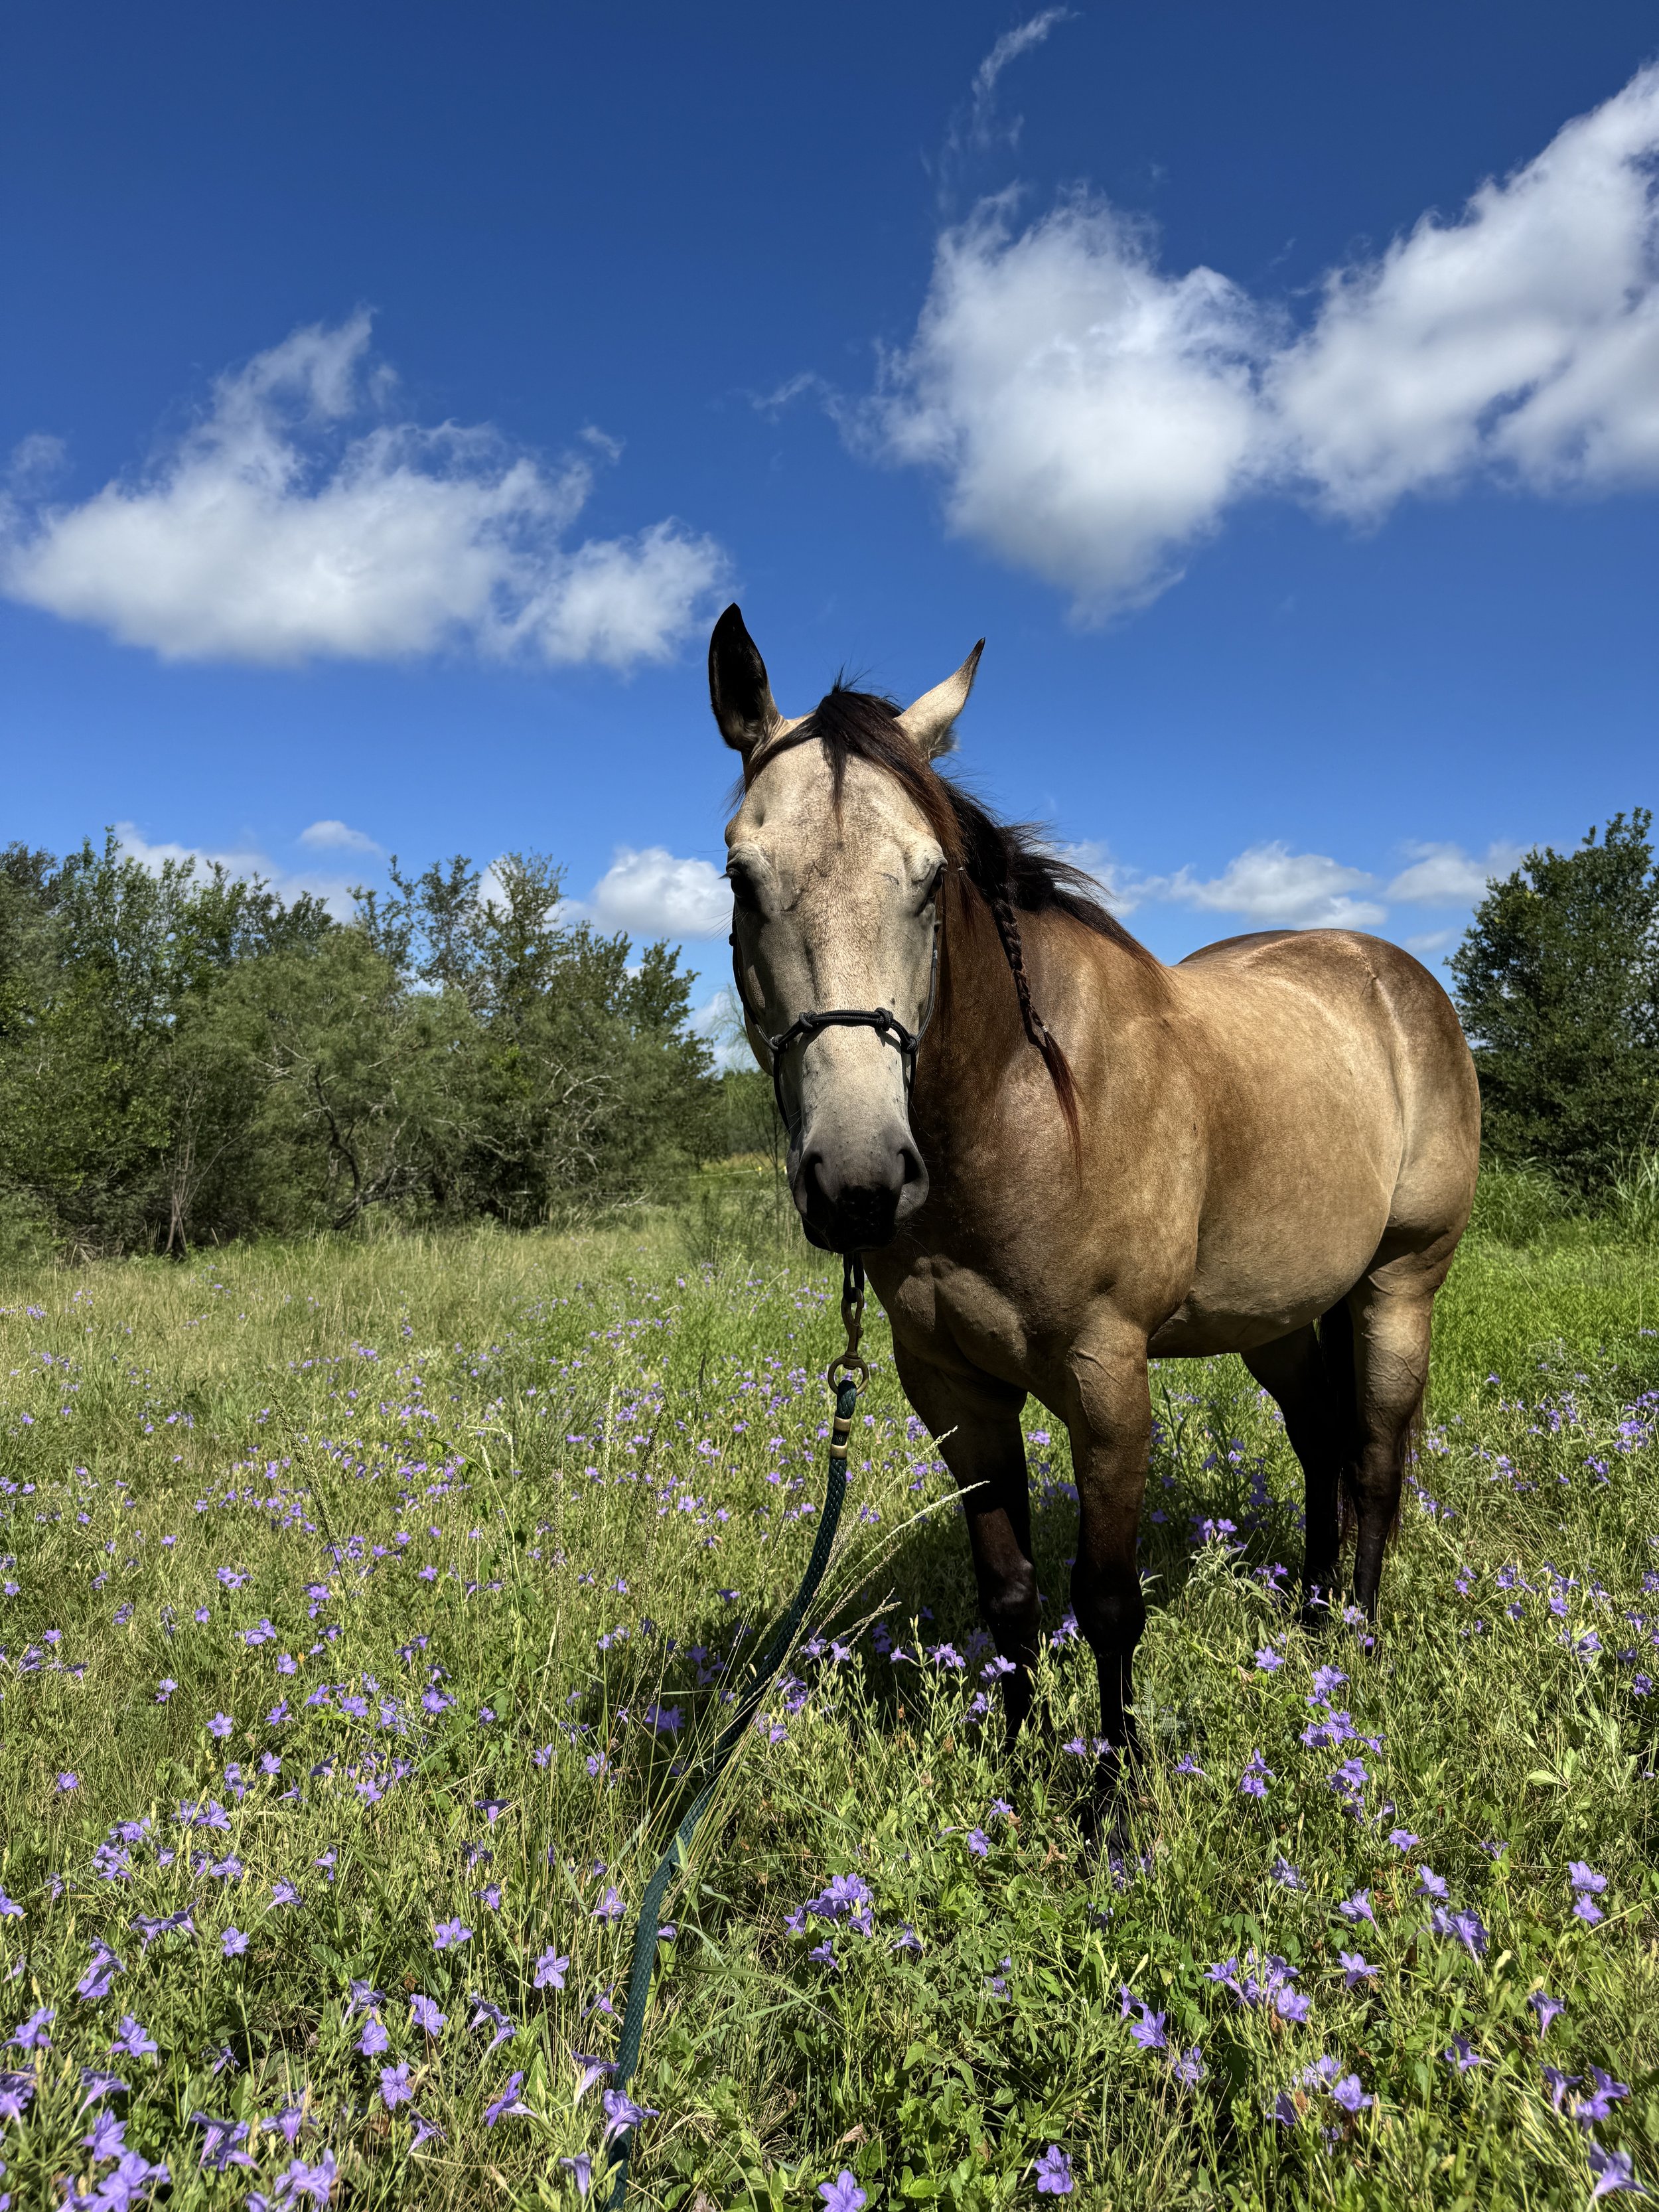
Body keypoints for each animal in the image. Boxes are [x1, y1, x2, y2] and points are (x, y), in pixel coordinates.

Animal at [710, 604, 1480, 1778]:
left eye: (932, 877)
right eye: (741, 879)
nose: (859, 1180)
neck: (1026, 1107)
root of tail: (1400, 978)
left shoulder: (1108, 1379)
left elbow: (1109, 1601)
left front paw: (1112, 1797)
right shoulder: (955, 1390)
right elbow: (1010, 1592)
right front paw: (1019, 1770)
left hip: (1401, 1286)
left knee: (1380, 1457)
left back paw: (1359, 1638)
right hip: (1279, 1317)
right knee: (1322, 1444)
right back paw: (1310, 1627)